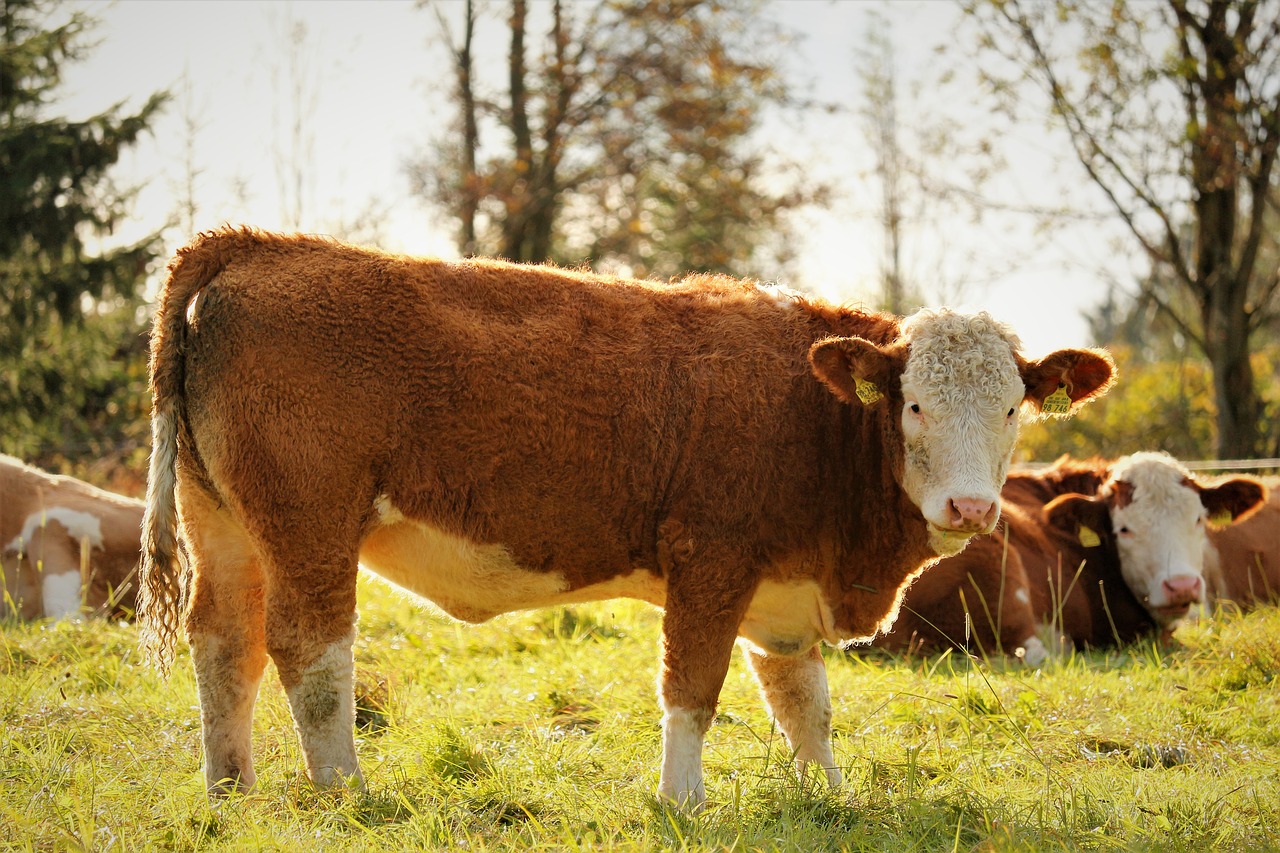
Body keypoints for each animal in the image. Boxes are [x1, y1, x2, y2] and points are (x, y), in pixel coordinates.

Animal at [137, 225, 1111, 804]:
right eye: (912, 406)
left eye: (1014, 409)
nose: (971, 505)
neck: (812, 412)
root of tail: (255, 245)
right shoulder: (711, 559)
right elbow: (693, 689)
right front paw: (681, 799)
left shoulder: (785, 590)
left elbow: (806, 704)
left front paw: (829, 794)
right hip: (310, 524)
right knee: (311, 654)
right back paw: (347, 790)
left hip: (223, 522)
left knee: (224, 642)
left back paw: (230, 789)